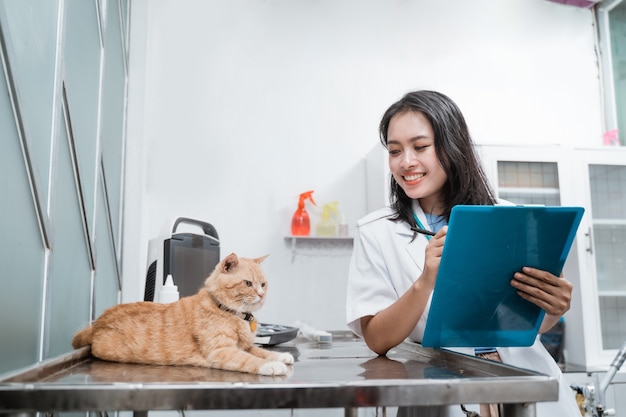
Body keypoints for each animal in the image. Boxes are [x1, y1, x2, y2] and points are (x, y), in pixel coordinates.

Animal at [72, 252, 294, 376]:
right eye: (248, 283)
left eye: (263, 284)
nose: (261, 294)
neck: (231, 312)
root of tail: (98, 321)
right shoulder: (222, 350)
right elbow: (251, 359)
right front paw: (272, 366)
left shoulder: (244, 346)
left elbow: (260, 351)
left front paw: (279, 356)